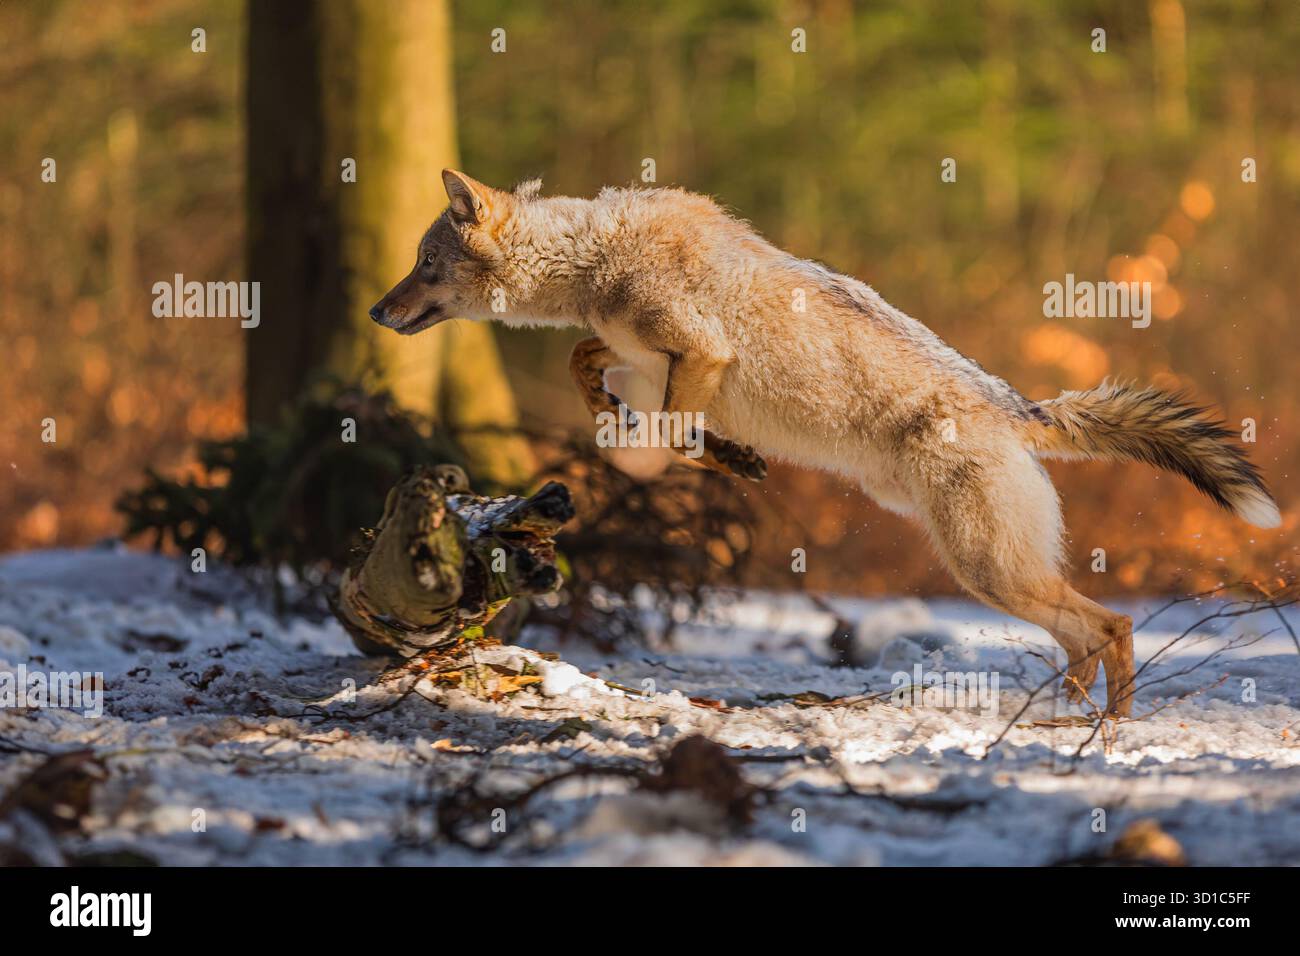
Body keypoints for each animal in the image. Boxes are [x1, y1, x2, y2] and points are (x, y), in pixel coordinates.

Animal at [371, 170, 1281, 717]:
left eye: (423, 263)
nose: (377, 312)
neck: (592, 256)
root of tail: (1017, 407)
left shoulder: (702, 356)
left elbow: (661, 440)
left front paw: (706, 454)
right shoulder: (647, 360)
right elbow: (592, 370)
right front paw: (709, 447)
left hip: (989, 570)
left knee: (1112, 627)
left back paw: (1094, 734)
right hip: (997, 576)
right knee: (1087, 638)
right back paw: (1057, 723)